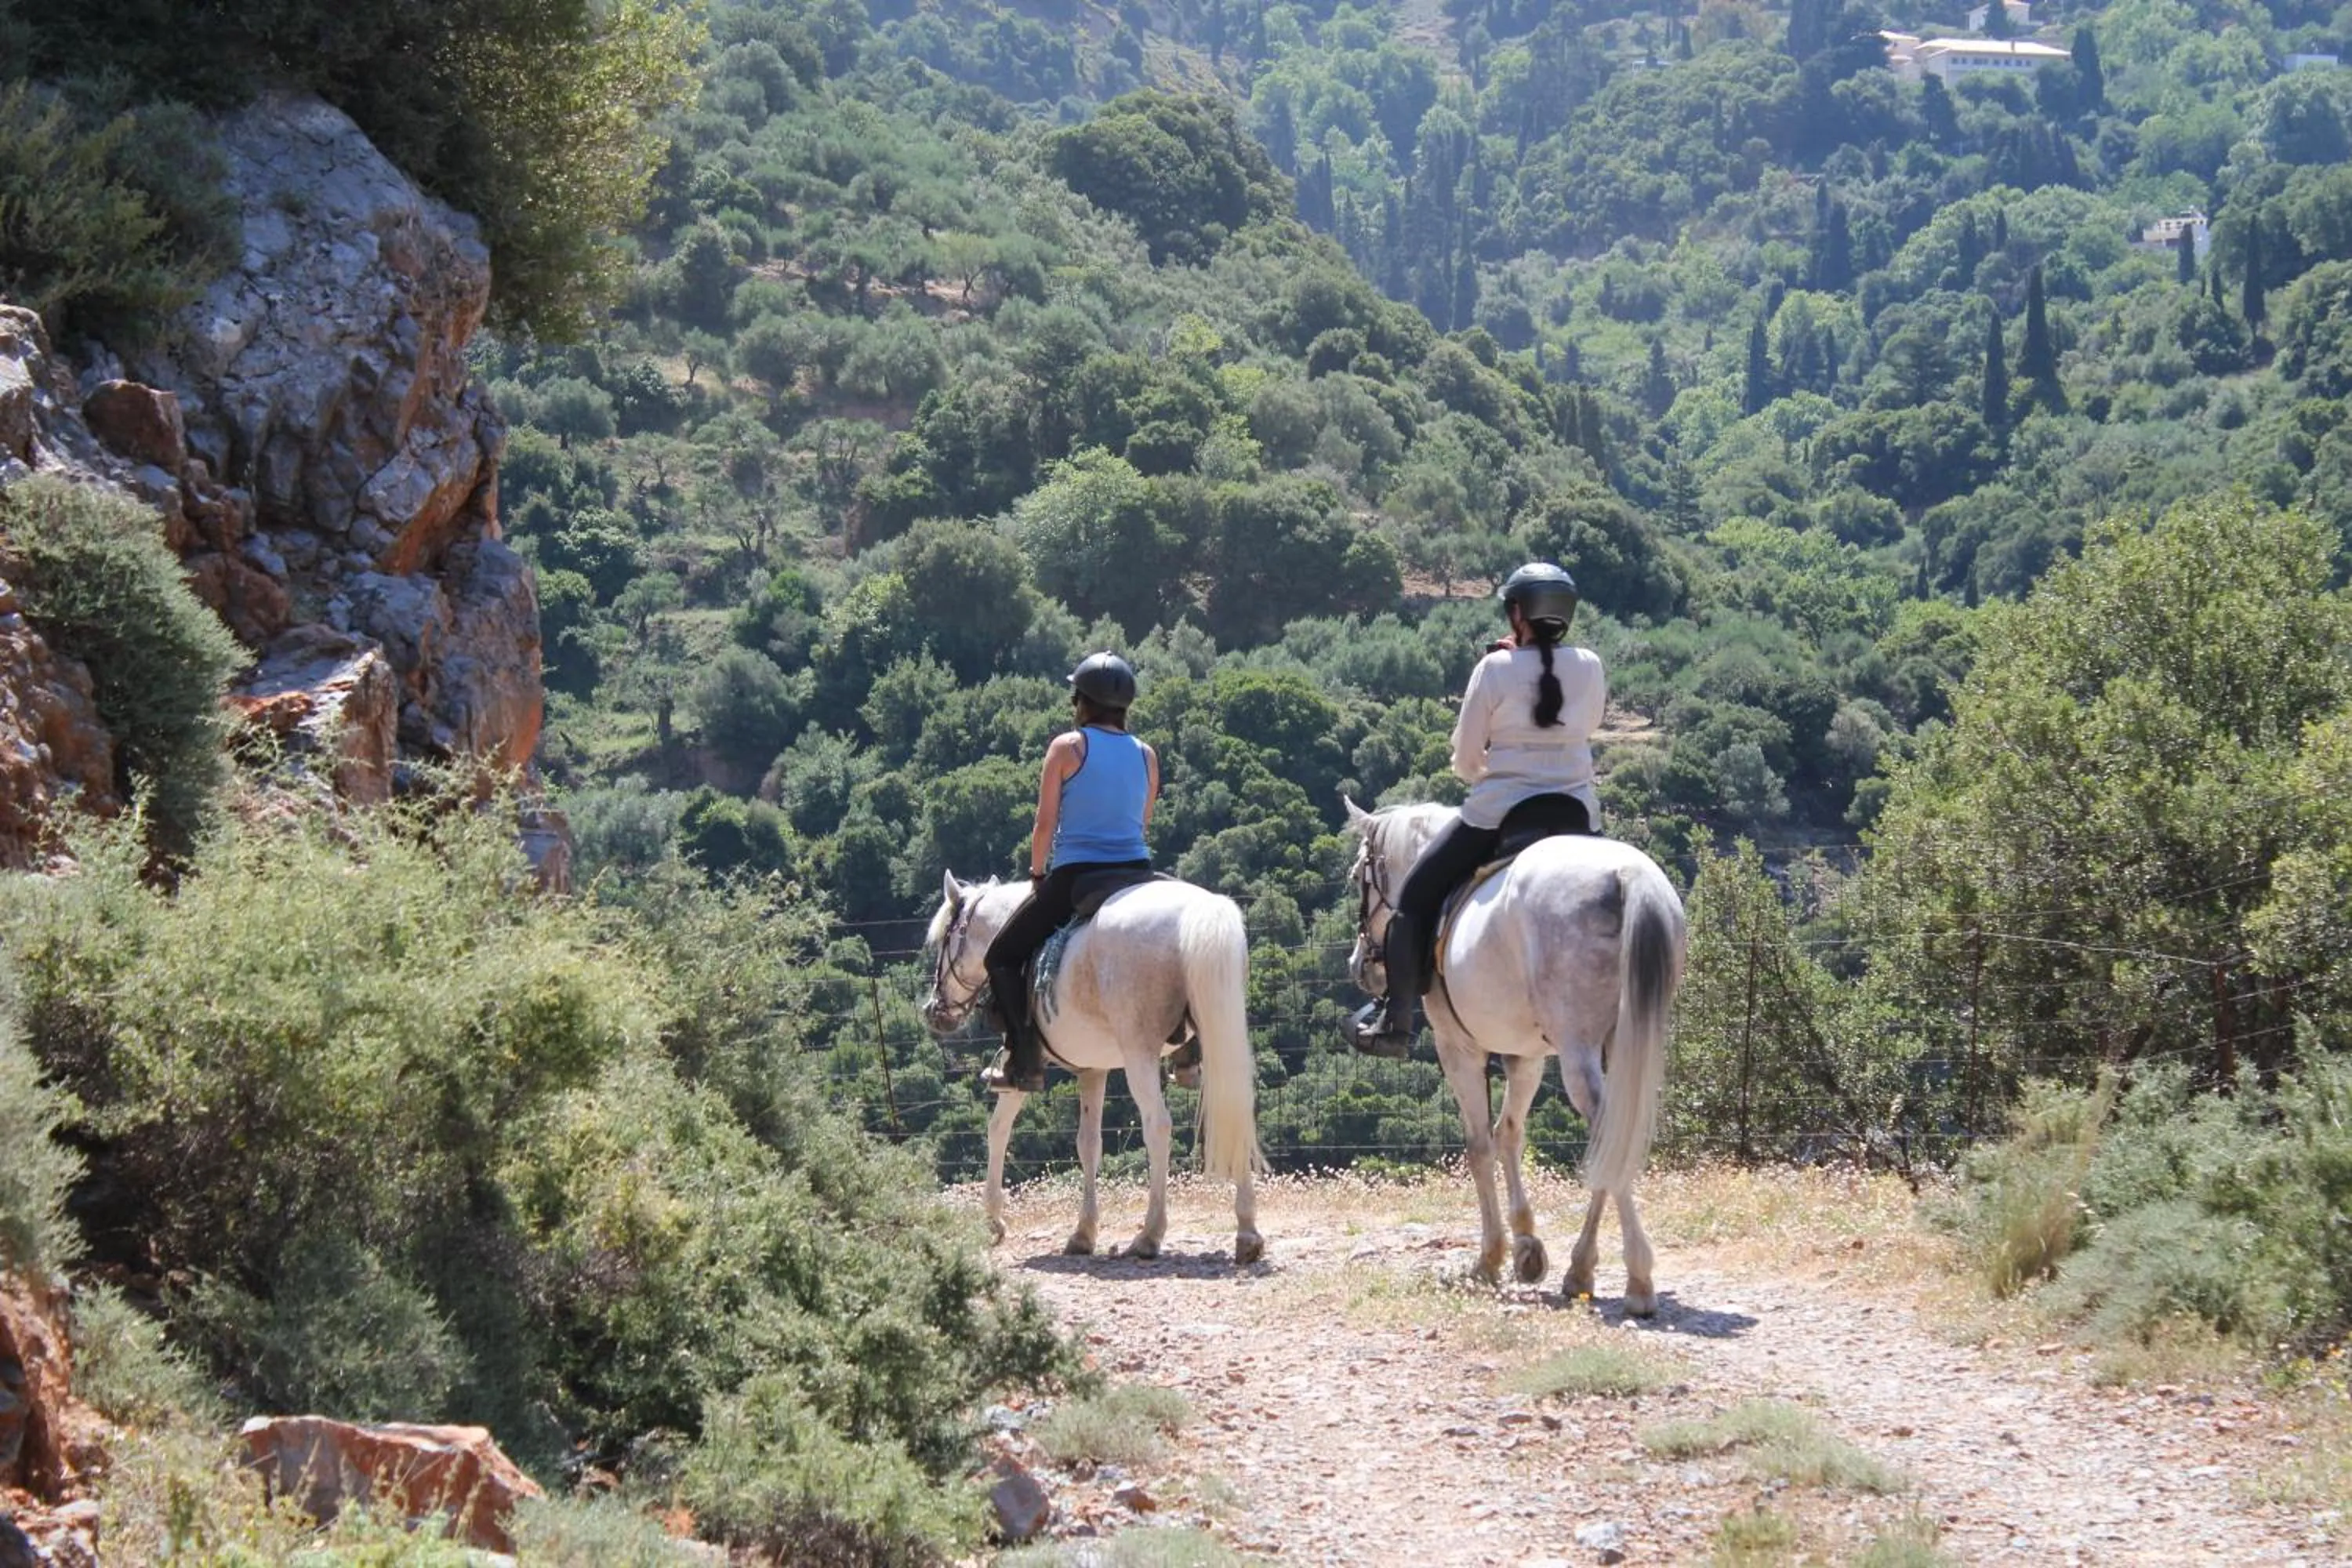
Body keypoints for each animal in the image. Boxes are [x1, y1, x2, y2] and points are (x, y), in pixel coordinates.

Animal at [922, 871, 1266, 1264]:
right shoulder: (1093, 1069)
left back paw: (1149, 1235)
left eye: (943, 940)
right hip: (1218, 1031)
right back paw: (1247, 1232)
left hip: (1139, 1053)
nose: (934, 1011)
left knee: (1158, 1126)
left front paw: (993, 1219)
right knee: (1233, 1109)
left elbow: (998, 1128)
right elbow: (1088, 1143)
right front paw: (1083, 1232)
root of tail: (1199, 910)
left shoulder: (1021, 1064)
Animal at [1343, 800, 1686, 1313]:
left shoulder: (1458, 1048)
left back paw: (1638, 1280)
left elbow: (1479, 1145)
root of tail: (1627, 876)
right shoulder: (1526, 1055)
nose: (1358, 965)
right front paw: (1527, 1246)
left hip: (1578, 1048)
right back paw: (1581, 1268)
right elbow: (1509, 1135)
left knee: (1608, 1132)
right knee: (1613, 1137)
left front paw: (1491, 1257)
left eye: (1358, 877)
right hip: (1625, 1042)